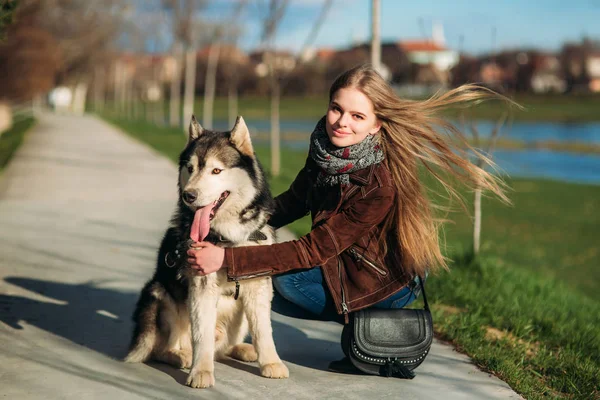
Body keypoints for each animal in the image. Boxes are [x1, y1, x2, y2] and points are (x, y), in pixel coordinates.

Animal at [124, 115, 288, 388]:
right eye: (190, 168)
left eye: (216, 170)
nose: (188, 195)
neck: (229, 238)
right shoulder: (201, 285)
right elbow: (202, 335)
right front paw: (200, 371)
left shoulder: (258, 285)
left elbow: (264, 331)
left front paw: (271, 363)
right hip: (160, 294)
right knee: (161, 348)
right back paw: (180, 355)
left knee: (224, 347)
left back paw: (244, 349)